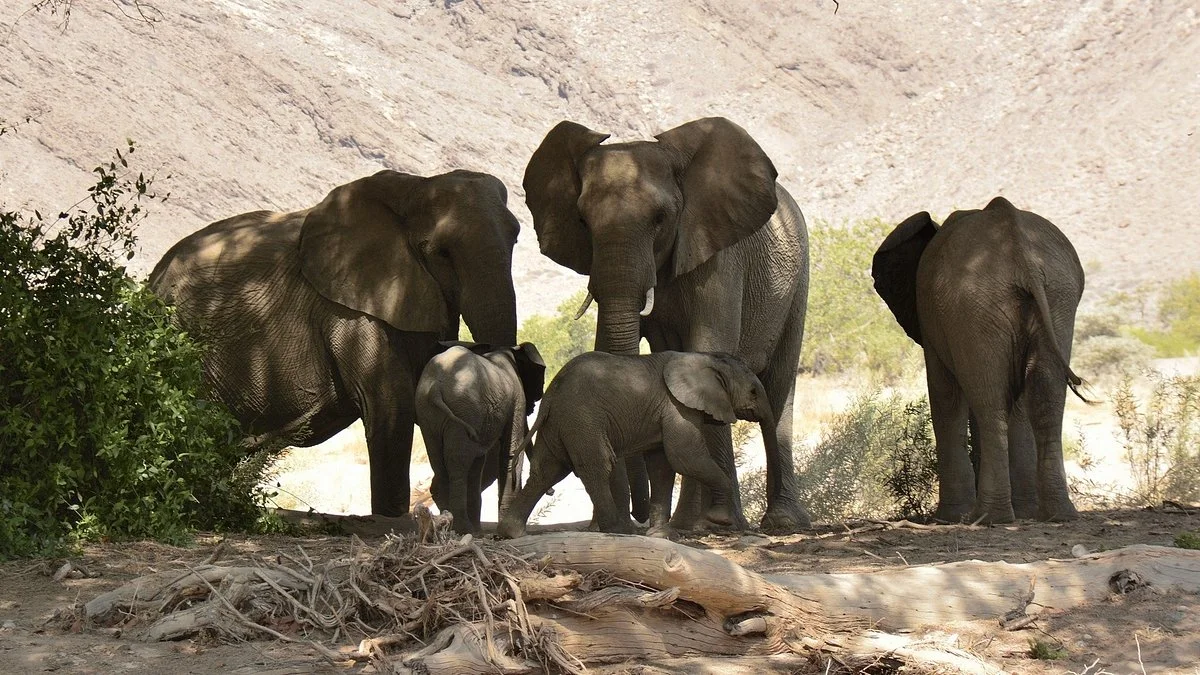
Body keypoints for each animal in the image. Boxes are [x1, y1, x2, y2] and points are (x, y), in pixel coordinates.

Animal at [149, 169, 521, 517]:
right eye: (440, 253)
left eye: (516, 237)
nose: (432, 493)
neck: (413, 188)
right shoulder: (352, 308)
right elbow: (392, 405)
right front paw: (392, 519)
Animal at [414, 341, 545, 534]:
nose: (552, 492)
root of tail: (435, 389)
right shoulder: (517, 396)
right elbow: (511, 449)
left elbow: (479, 463)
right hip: (464, 409)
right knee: (459, 464)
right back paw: (464, 529)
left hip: (429, 413)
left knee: (439, 462)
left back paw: (452, 526)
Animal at [496, 351, 776, 540]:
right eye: (753, 392)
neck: (706, 359)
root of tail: (552, 389)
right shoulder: (676, 406)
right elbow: (684, 457)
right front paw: (720, 518)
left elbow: (662, 465)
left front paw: (660, 535)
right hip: (581, 418)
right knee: (597, 465)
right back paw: (617, 530)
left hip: (558, 423)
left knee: (547, 472)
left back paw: (511, 533)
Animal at [522, 116, 810, 533]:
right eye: (582, 221)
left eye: (660, 219)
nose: (636, 517)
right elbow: (609, 341)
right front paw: (605, 528)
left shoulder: (717, 255)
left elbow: (708, 345)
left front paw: (696, 525)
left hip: (797, 282)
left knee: (780, 386)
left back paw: (778, 523)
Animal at [871, 196, 1087, 524]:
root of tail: (1020, 252)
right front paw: (1024, 511)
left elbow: (944, 397)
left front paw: (948, 517)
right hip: (1055, 298)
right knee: (1044, 399)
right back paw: (1056, 514)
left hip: (976, 302)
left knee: (989, 400)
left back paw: (988, 517)